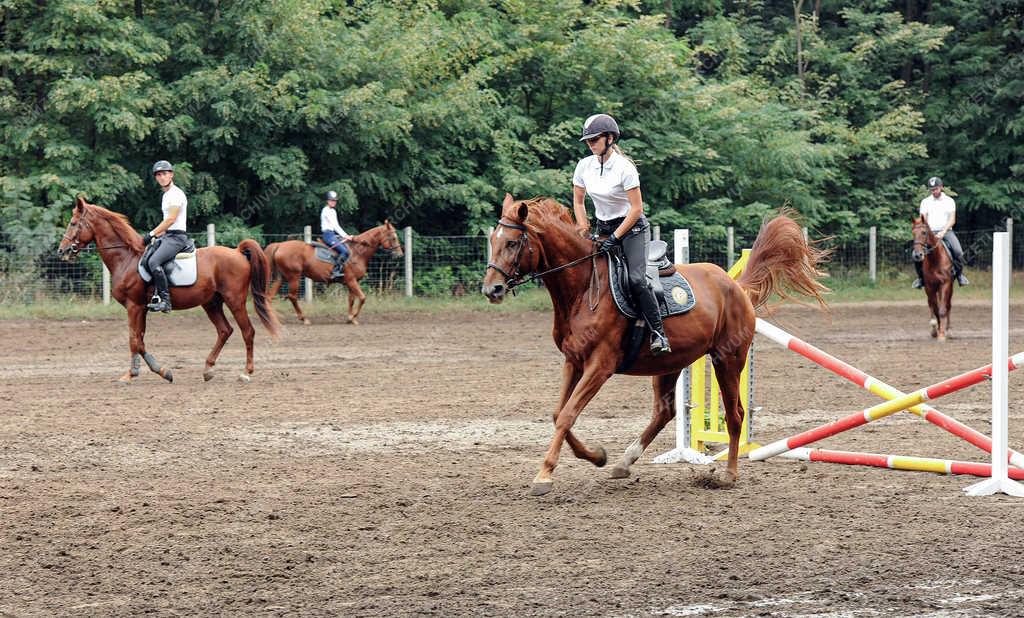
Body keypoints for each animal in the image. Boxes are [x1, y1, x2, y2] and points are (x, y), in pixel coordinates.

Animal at [58, 196, 282, 380]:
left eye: (73, 223)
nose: (62, 251)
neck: (126, 258)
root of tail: (237, 252)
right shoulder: (142, 308)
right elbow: (140, 340)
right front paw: (154, 371)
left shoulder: (134, 306)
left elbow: (134, 340)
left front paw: (139, 373)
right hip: (211, 303)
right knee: (225, 330)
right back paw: (208, 369)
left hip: (234, 300)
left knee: (248, 332)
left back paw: (246, 372)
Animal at [264, 223, 403, 327]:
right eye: (393, 237)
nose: (400, 254)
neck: (357, 252)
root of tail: (279, 245)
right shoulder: (352, 281)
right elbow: (363, 298)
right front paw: (353, 317)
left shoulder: (351, 282)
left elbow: (351, 300)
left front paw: (350, 318)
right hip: (294, 277)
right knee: (292, 297)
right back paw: (304, 319)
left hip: (280, 278)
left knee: (269, 297)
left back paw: (272, 320)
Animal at [481, 195, 831, 495]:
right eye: (492, 241)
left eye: (512, 242)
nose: (491, 290)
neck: (583, 288)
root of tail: (735, 285)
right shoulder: (574, 361)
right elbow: (559, 414)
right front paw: (597, 456)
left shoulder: (600, 365)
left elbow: (568, 415)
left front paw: (544, 475)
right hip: (669, 363)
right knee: (665, 411)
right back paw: (625, 461)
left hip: (728, 358)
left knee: (735, 415)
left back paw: (729, 475)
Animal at [913, 215, 950, 343]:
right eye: (913, 233)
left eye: (924, 232)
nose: (917, 255)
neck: (935, 259)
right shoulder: (929, 287)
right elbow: (935, 308)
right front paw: (936, 330)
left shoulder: (946, 284)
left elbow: (943, 309)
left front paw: (943, 334)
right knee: (931, 304)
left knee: (948, 305)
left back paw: (948, 329)